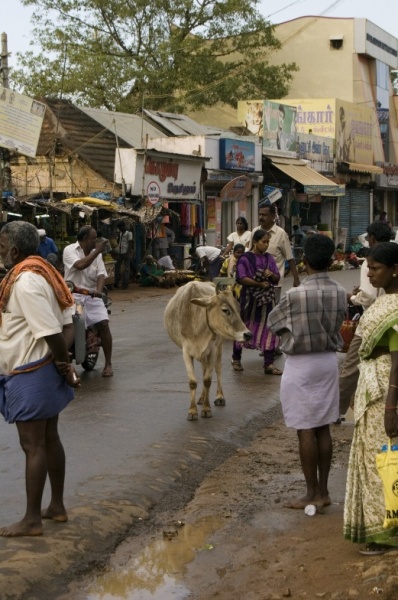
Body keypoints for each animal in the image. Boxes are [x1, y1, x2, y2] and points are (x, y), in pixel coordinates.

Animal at [164, 282, 252, 420]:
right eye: (225, 310)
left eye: (238, 310)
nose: (248, 334)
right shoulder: (186, 352)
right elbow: (193, 382)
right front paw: (192, 411)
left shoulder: (213, 350)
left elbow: (207, 380)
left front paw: (206, 409)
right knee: (204, 369)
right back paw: (201, 397)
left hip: (219, 347)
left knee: (218, 369)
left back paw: (219, 397)